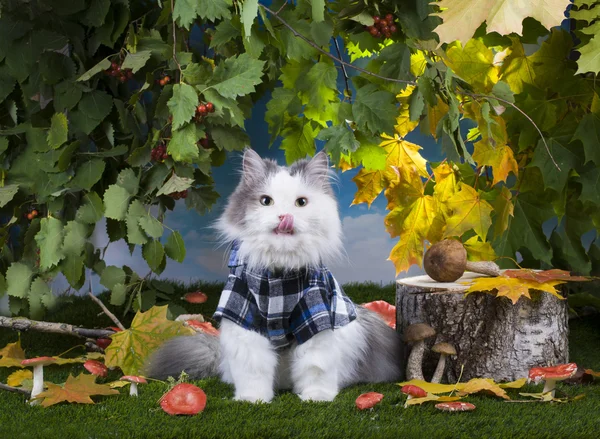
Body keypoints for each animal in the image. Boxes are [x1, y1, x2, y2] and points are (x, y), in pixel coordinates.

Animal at [144, 150, 404, 404]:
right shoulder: (244, 318)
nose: (284, 216)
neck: (278, 279)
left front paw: (316, 398)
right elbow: (253, 370)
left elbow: (315, 367)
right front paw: (253, 399)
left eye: (301, 202)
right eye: (265, 201)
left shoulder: (315, 318)